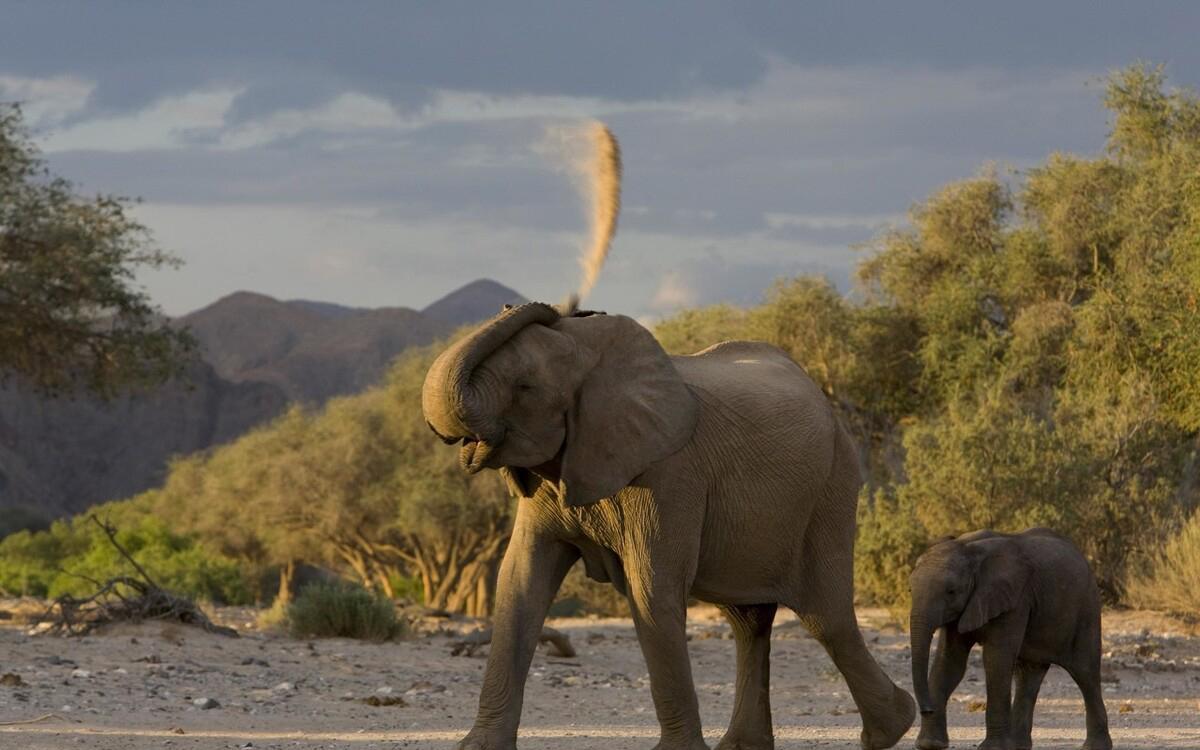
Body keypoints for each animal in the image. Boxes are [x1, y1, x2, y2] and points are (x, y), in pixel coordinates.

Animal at [424, 300, 916, 748]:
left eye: (525, 388)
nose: (543, 305)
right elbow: (520, 584)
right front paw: (479, 747)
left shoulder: (670, 475)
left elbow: (651, 589)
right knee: (749, 622)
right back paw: (744, 747)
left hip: (832, 486)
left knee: (824, 617)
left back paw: (893, 729)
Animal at [907, 525, 1113, 748]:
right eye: (910, 590)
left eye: (951, 591)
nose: (926, 709)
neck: (969, 550)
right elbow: (949, 663)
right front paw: (930, 744)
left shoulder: (1015, 600)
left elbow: (996, 660)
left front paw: (992, 748)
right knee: (1028, 675)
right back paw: (1017, 746)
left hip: (1087, 609)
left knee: (1085, 672)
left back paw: (1095, 747)